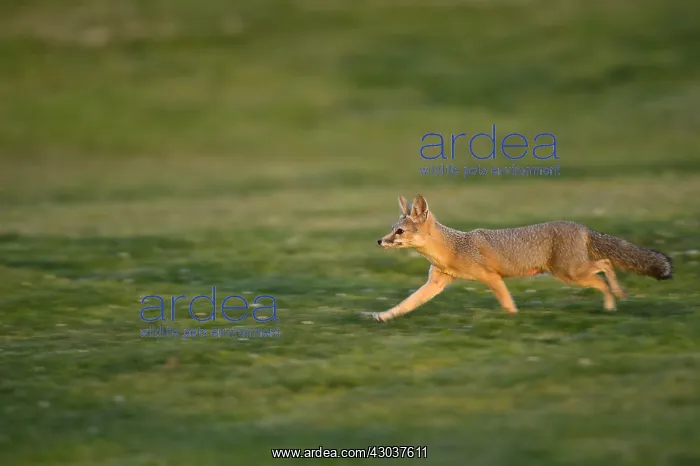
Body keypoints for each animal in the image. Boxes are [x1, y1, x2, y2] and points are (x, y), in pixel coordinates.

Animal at [373, 194, 673, 323]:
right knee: (602, 276)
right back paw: (610, 305)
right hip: (572, 274)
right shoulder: (437, 283)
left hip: (570, 273)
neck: (453, 246)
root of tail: (582, 226)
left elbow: (507, 304)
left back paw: (617, 296)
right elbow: (407, 304)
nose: (379, 241)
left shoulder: (492, 278)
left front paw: (513, 321)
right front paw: (384, 315)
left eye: (399, 232)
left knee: (606, 265)